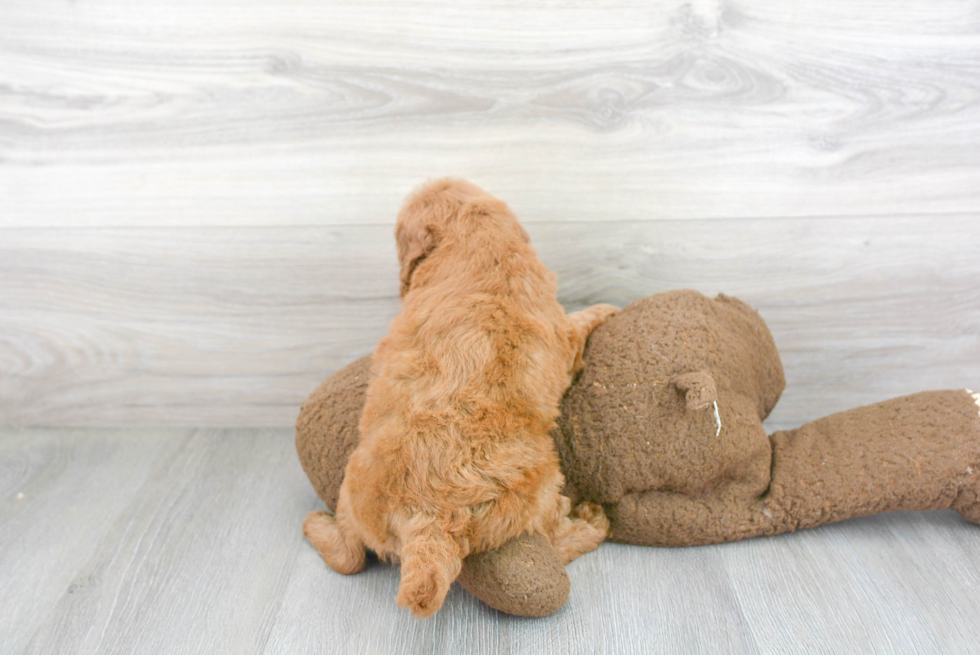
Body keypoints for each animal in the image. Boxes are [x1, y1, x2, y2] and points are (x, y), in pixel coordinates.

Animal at [302, 178, 616, 616]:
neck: (478, 240)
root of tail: (429, 518)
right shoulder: (562, 337)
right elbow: (577, 325)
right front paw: (605, 308)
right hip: (543, 487)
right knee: (555, 537)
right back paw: (592, 522)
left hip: (353, 488)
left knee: (347, 555)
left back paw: (316, 525)